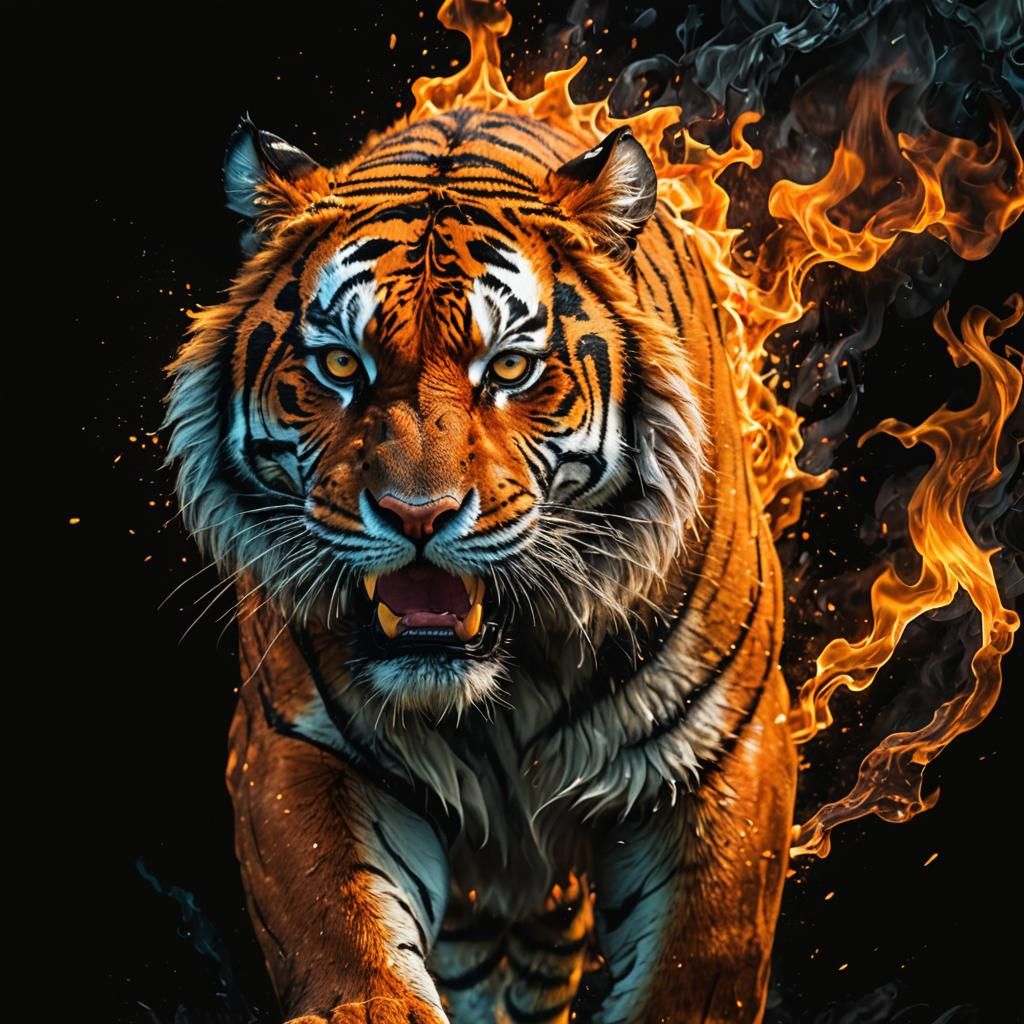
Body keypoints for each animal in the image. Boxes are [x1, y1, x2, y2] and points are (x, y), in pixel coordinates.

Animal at [161, 99, 797, 1024]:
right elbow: (341, 928)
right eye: (341, 363)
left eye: (509, 368)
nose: (415, 514)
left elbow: (695, 959)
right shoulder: (297, 744)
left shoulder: (725, 749)